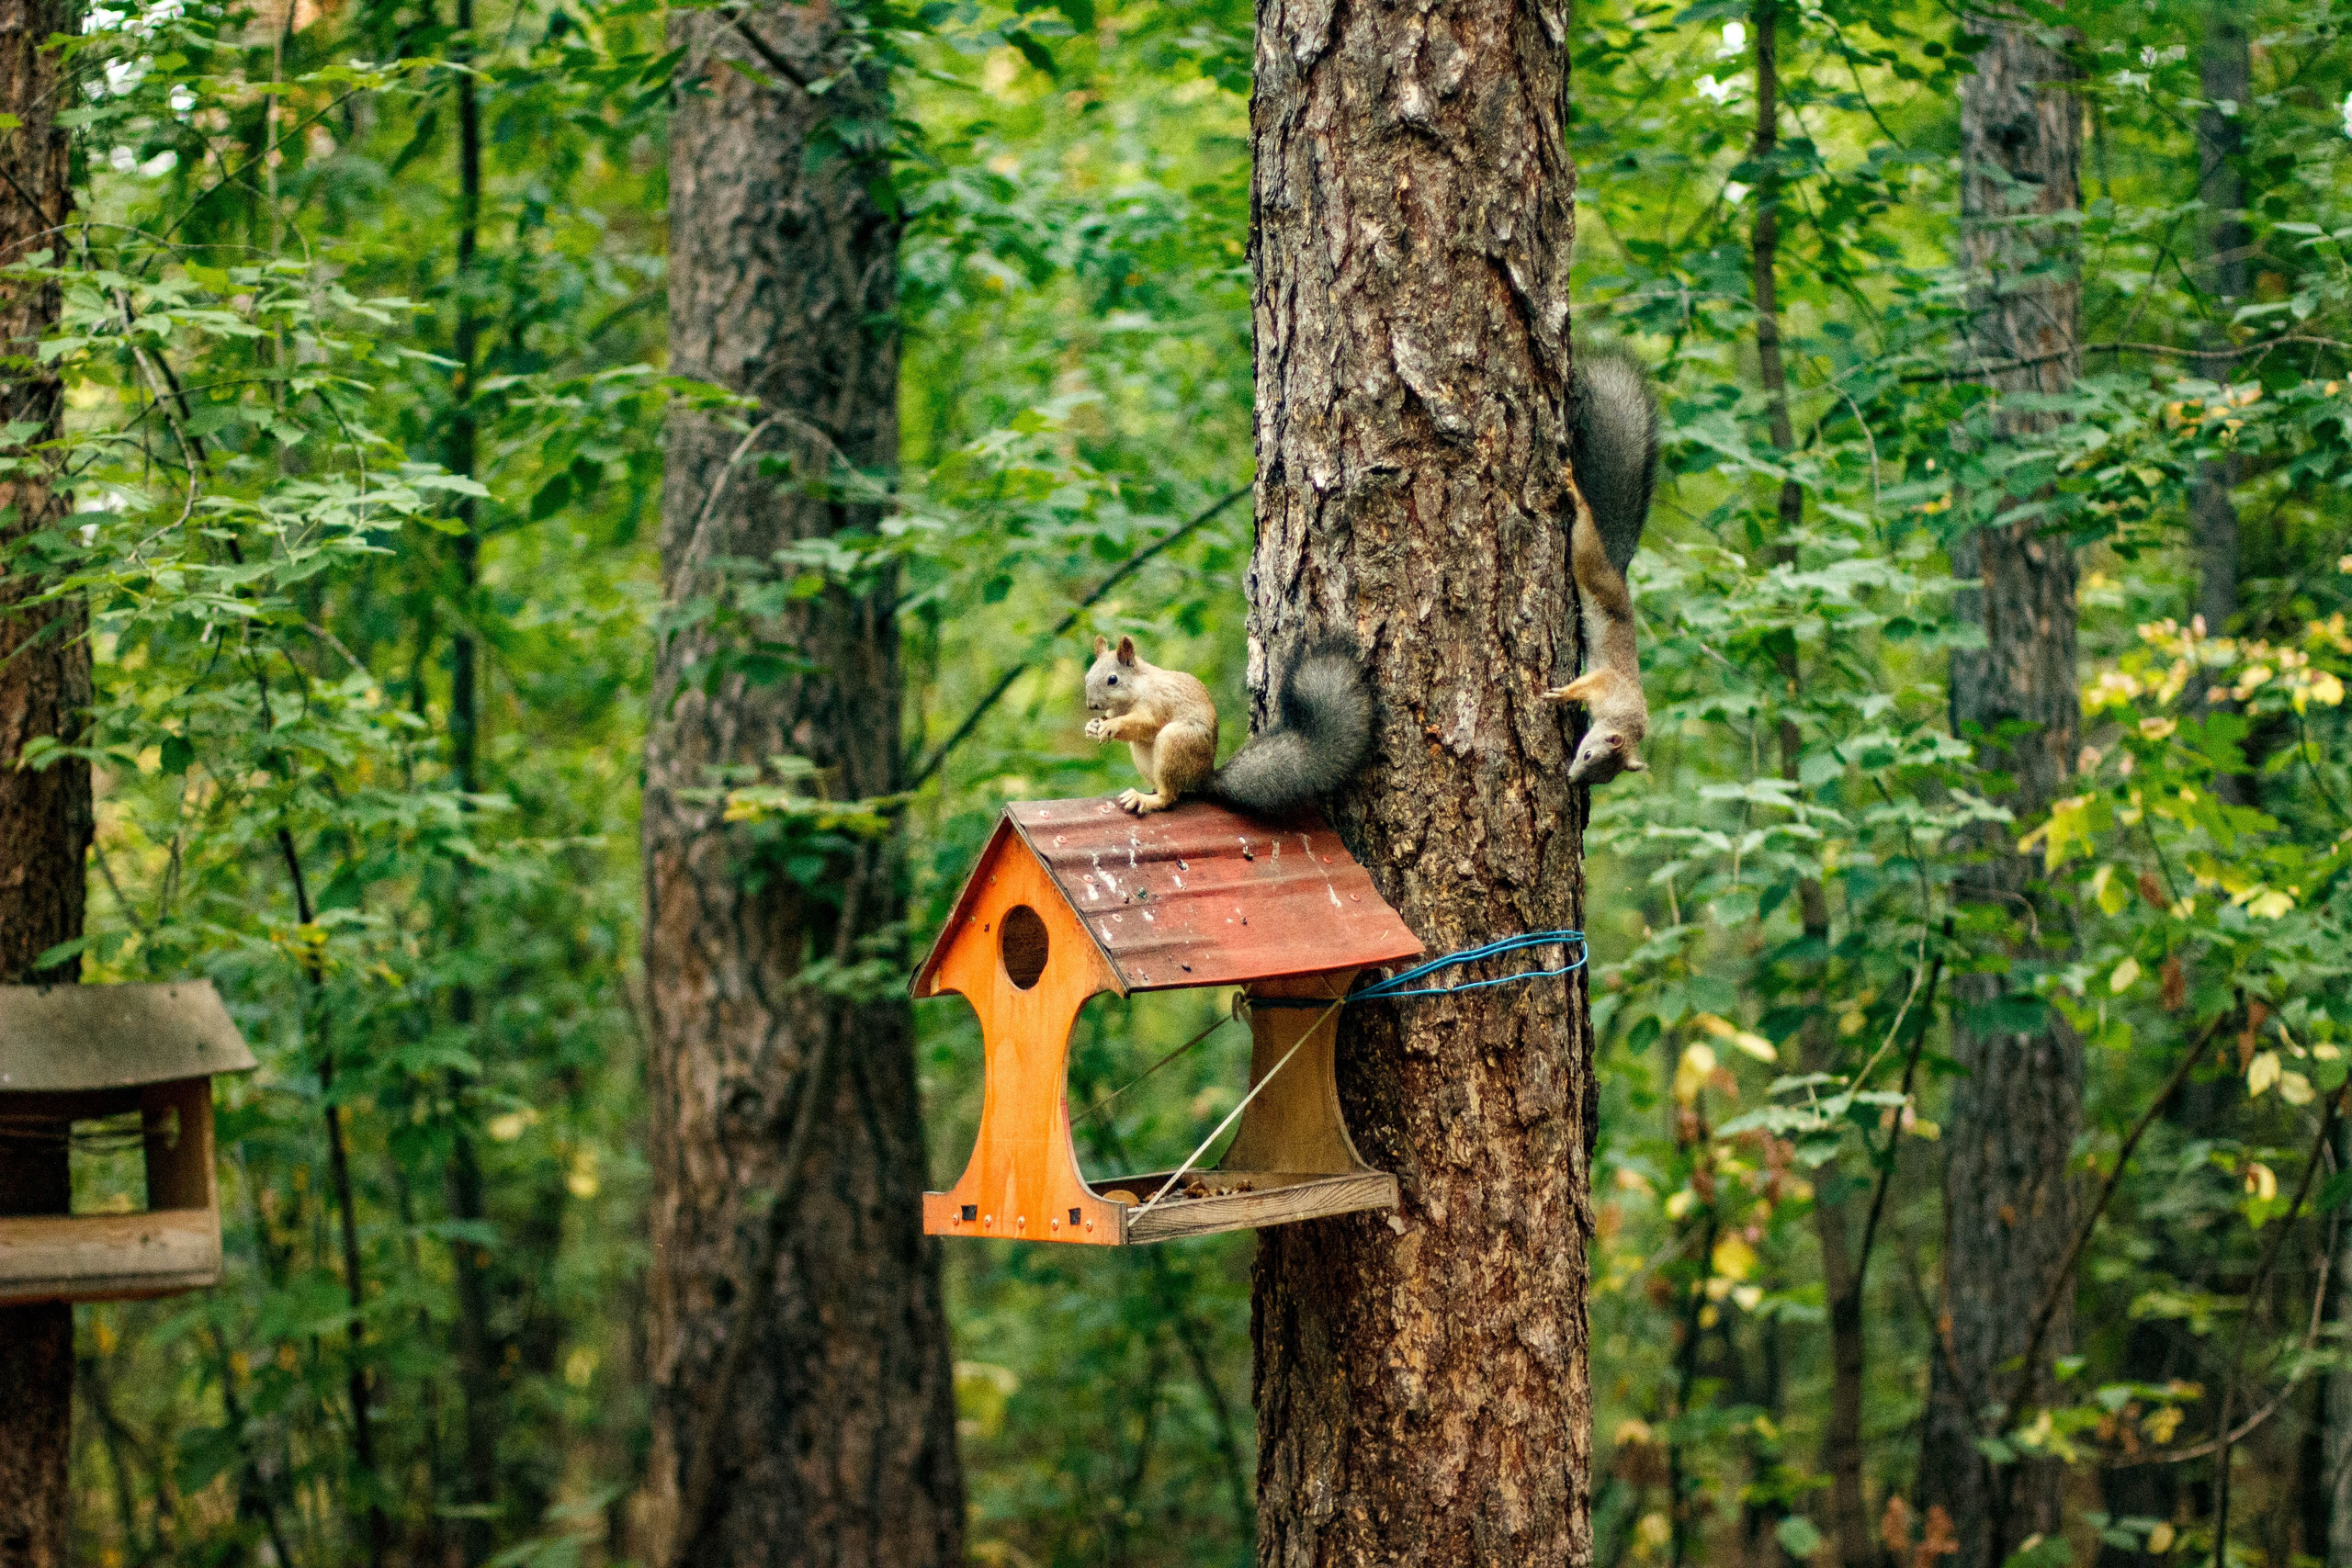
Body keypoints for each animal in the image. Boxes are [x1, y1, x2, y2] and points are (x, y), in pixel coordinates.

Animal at [1082, 635, 1371, 818]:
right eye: (1087, 676)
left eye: (1112, 679)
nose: (1091, 704)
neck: (1134, 691)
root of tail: (1204, 778)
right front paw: (1094, 725)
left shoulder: (1158, 703)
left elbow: (1144, 723)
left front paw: (1111, 726)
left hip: (1176, 741)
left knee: (1171, 796)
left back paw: (1147, 799)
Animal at [1542, 345, 1660, 788]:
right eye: (1588, 753)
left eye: (1601, 778)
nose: (1573, 780)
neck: (1625, 719)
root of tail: (1616, 571)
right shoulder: (1607, 683)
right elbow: (1586, 683)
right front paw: (1563, 693)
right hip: (1588, 559)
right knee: (1586, 524)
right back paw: (1574, 494)